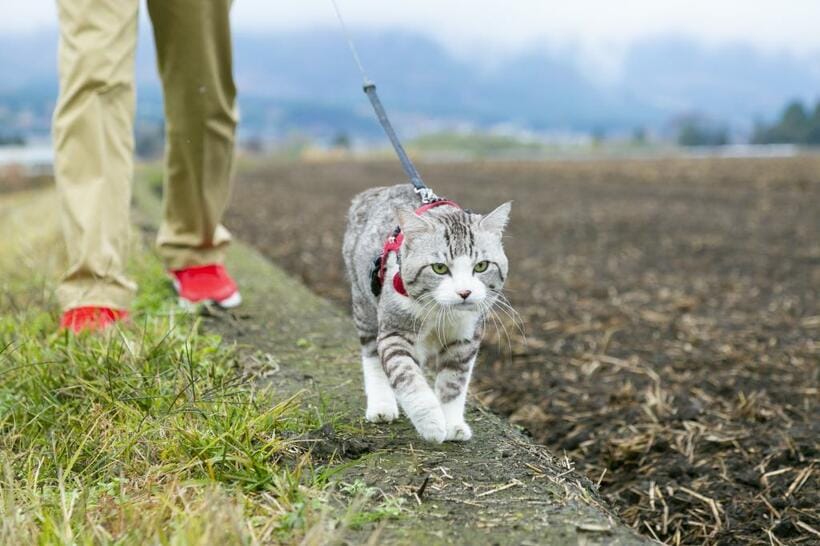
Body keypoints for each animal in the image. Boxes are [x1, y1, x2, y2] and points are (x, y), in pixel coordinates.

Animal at [342, 184, 510, 442]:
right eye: (439, 268)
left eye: (481, 266)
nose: (465, 292)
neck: (440, 311)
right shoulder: (395, 330)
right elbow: (406, 375)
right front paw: (431, 422)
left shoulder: (466, 336)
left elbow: (454, 381)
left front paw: (452, 424)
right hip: (364, 302)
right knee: (371, 353)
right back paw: (381, 405)